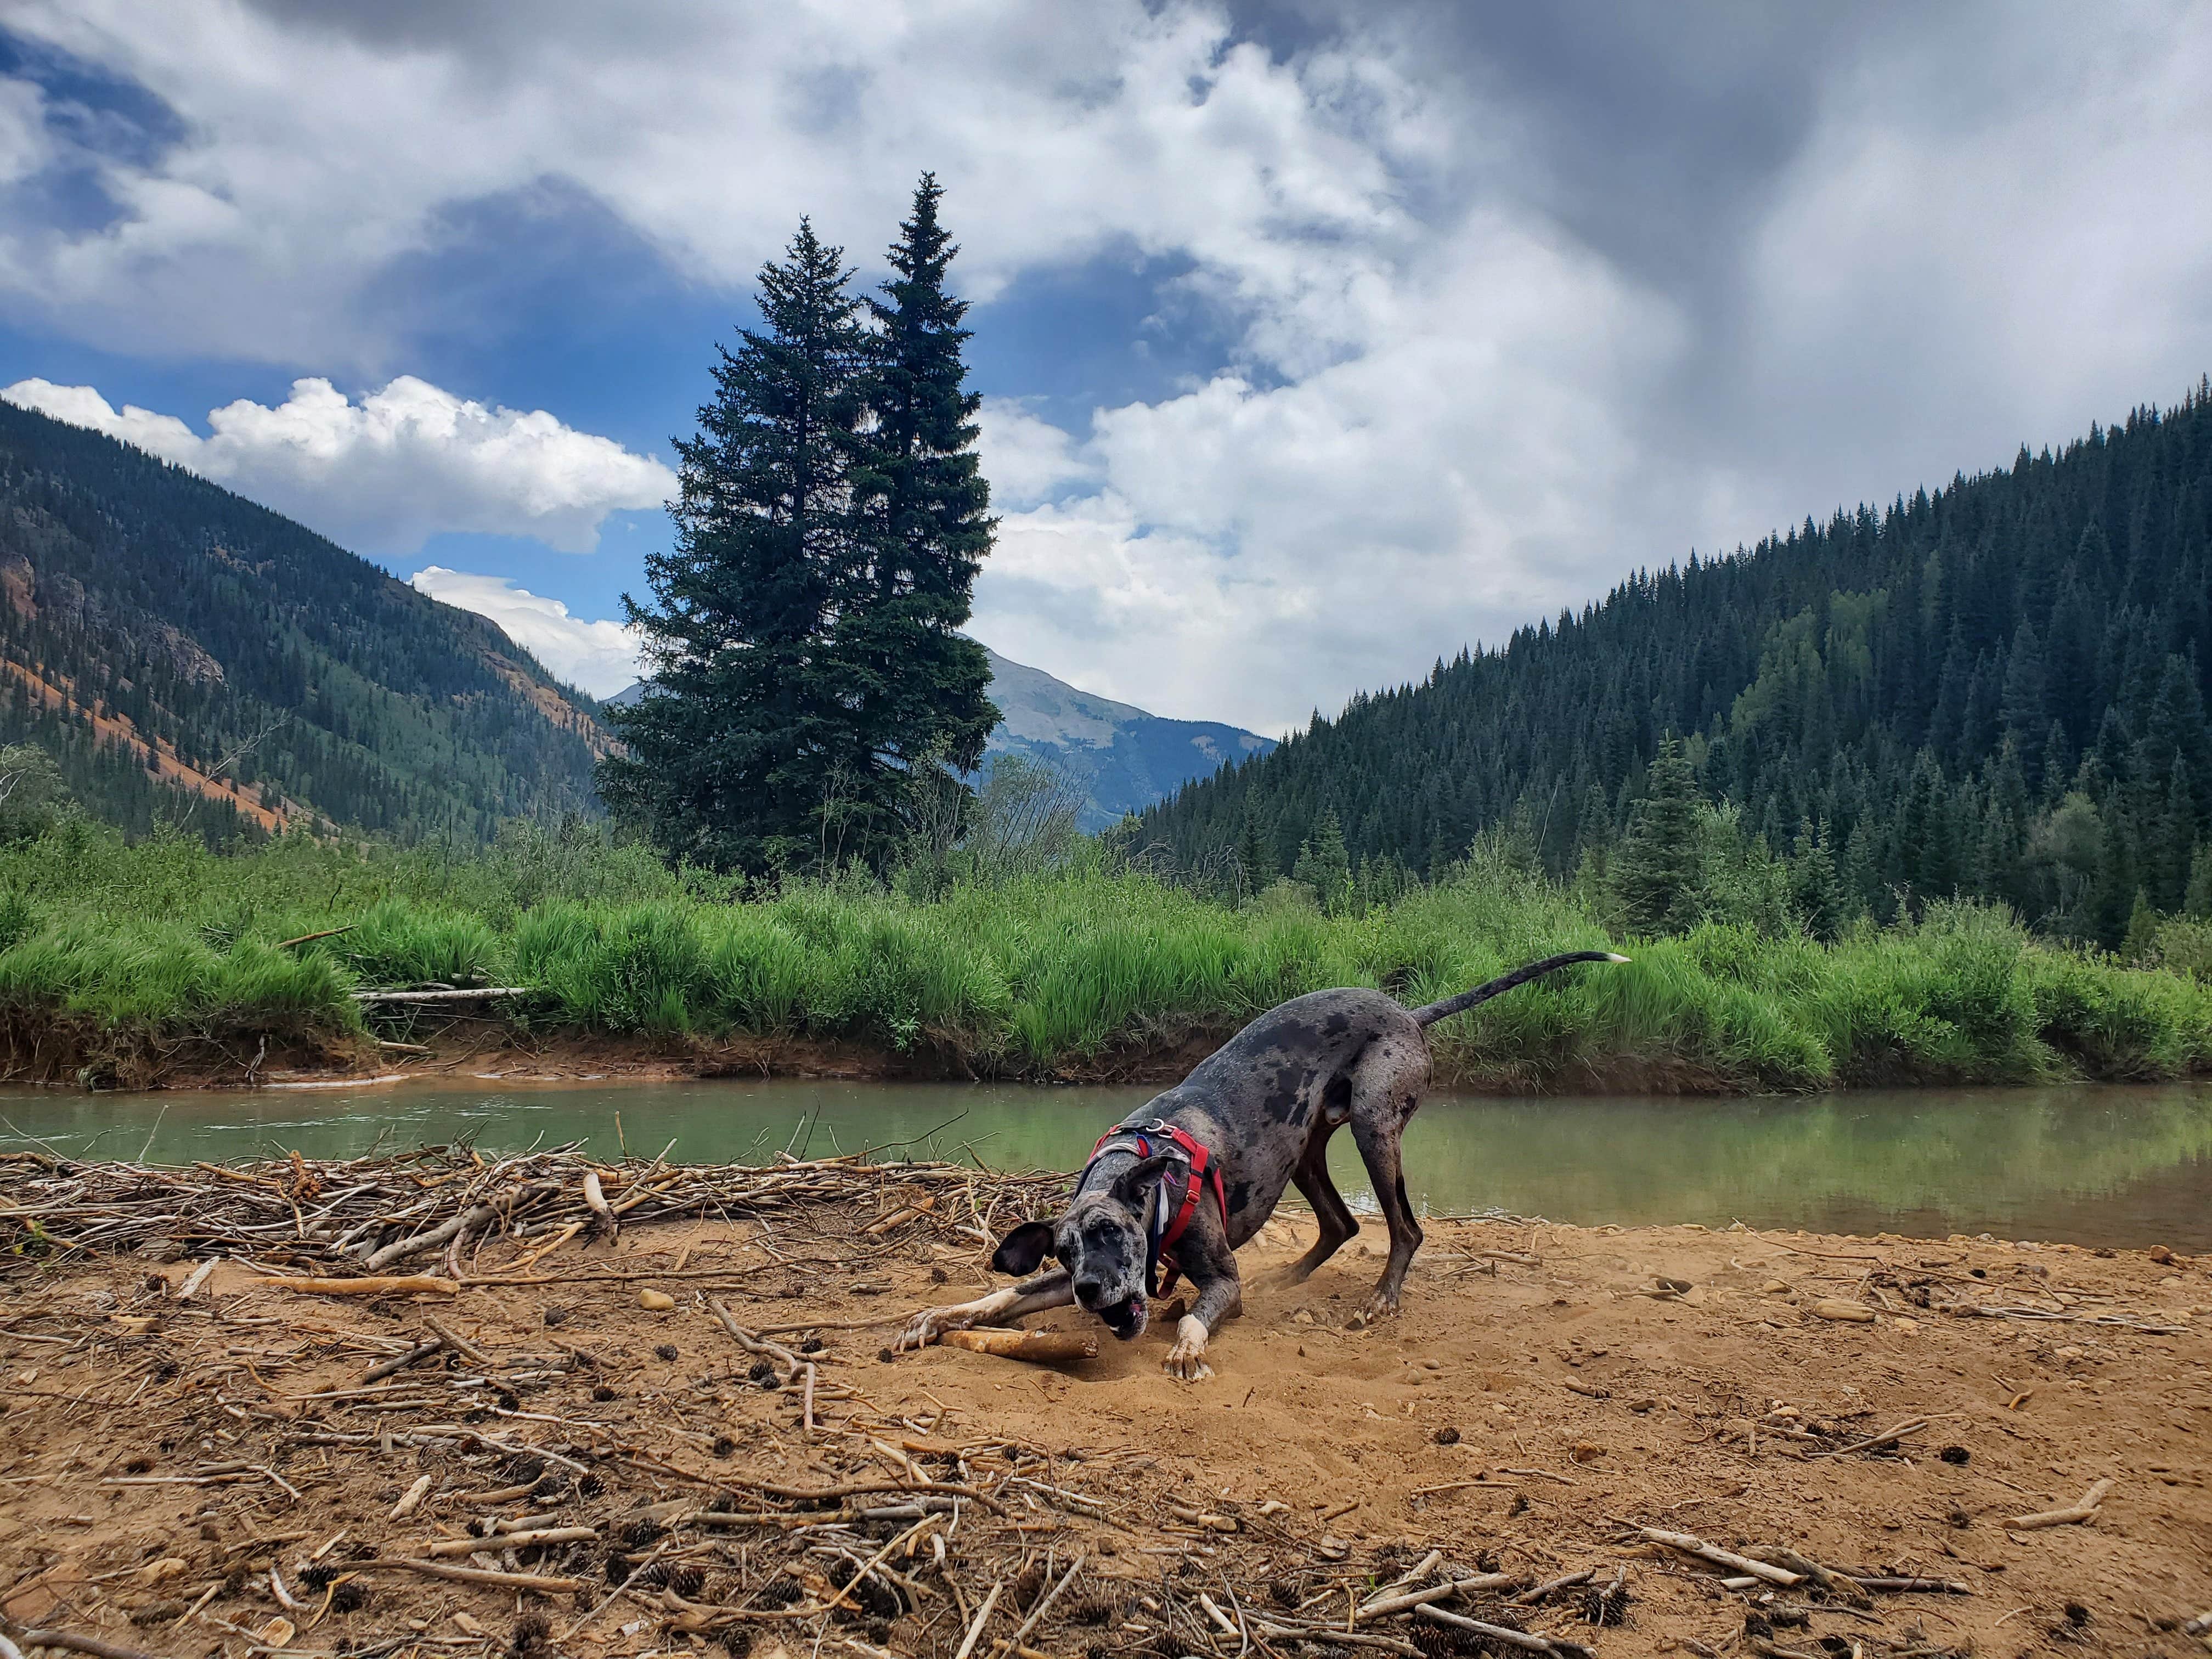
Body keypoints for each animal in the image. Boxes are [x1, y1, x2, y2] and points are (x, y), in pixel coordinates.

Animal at [893, 955, 1628, 1380]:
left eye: (1112, 1236)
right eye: (1067, 1254)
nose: (1091, 1293)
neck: (1143, 1174)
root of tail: (1406, 1009)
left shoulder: (1221, 1278)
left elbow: (1195, 1313)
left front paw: (1189, 1346)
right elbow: (1000, 1297)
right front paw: (936, 1317)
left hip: (1376, 1128)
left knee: (1406, 1229)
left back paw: (1381, 1300)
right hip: (1305, 1154)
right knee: (1341, 1225)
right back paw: (1290, 1277)